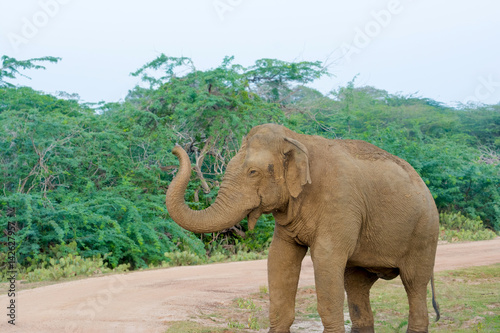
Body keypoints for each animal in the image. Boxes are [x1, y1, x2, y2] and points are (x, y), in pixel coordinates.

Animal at [166, 123, 440, 330]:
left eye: (253, 172)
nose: (175, 147)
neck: (297, 139)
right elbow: (280, 259)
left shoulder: (340, 202)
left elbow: (327, 261)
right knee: (357, 288)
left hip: (424, 233)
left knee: (414, 284)